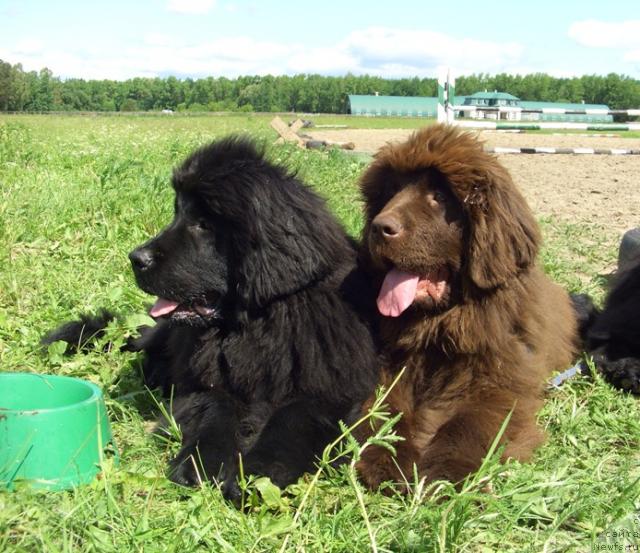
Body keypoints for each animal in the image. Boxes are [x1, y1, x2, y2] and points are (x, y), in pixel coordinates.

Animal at [46, 136, 380, 498]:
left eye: (203, 224)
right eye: (178, 212)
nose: (136, 258)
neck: (256, 324)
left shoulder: (332, 389)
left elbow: (297, 416)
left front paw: (259, 473)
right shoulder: (201, 381)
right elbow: (215, 405)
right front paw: (200, 462)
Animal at [358, 124, 576, 488]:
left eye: (440, 196)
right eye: (392, 191)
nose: (379, 227)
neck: (438, 330)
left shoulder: (502, 382)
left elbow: (471, 422)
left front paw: (445, 475)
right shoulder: (390, 367)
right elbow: (386, 409)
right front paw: (387, 460)